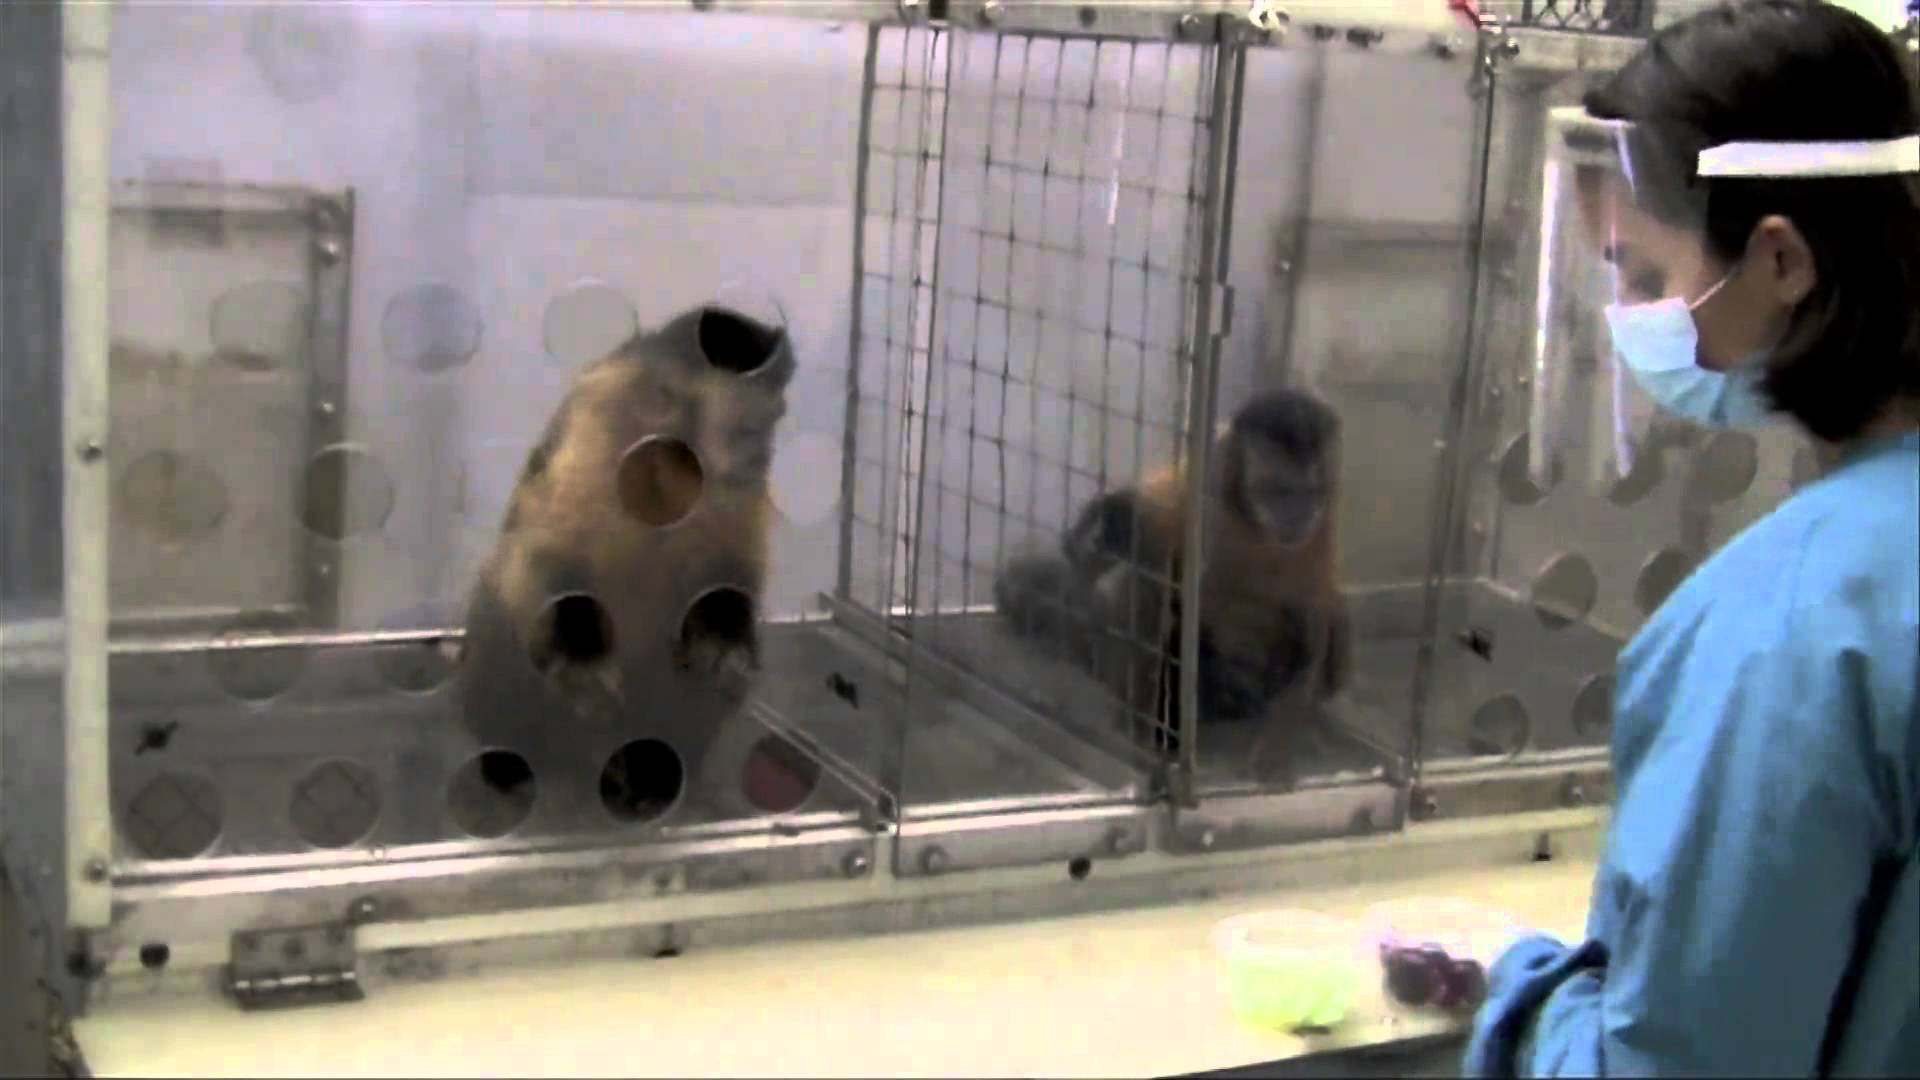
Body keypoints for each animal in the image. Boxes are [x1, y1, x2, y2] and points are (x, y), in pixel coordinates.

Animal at [455, 302, 796, 826]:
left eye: (775, 417)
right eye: (747, 430)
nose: (760, 455)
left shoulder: (736, 506)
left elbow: (729, 580)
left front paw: (728, 653)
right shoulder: (595, 439)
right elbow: (544, 564)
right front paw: (585, 671)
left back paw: (655, 776)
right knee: (501, 613)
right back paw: (520, 764)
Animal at [992, 387, 1351, 775]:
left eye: (1311, 492)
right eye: (1279, 492)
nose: (1299, 515)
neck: (1251, 522)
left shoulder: (1323, 526)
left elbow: (1314, 615)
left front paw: (1279, 745)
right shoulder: (1213, 471)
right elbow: (1155, 525)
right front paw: (1115, 514)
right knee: (1150, 575)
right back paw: (1143, 724)